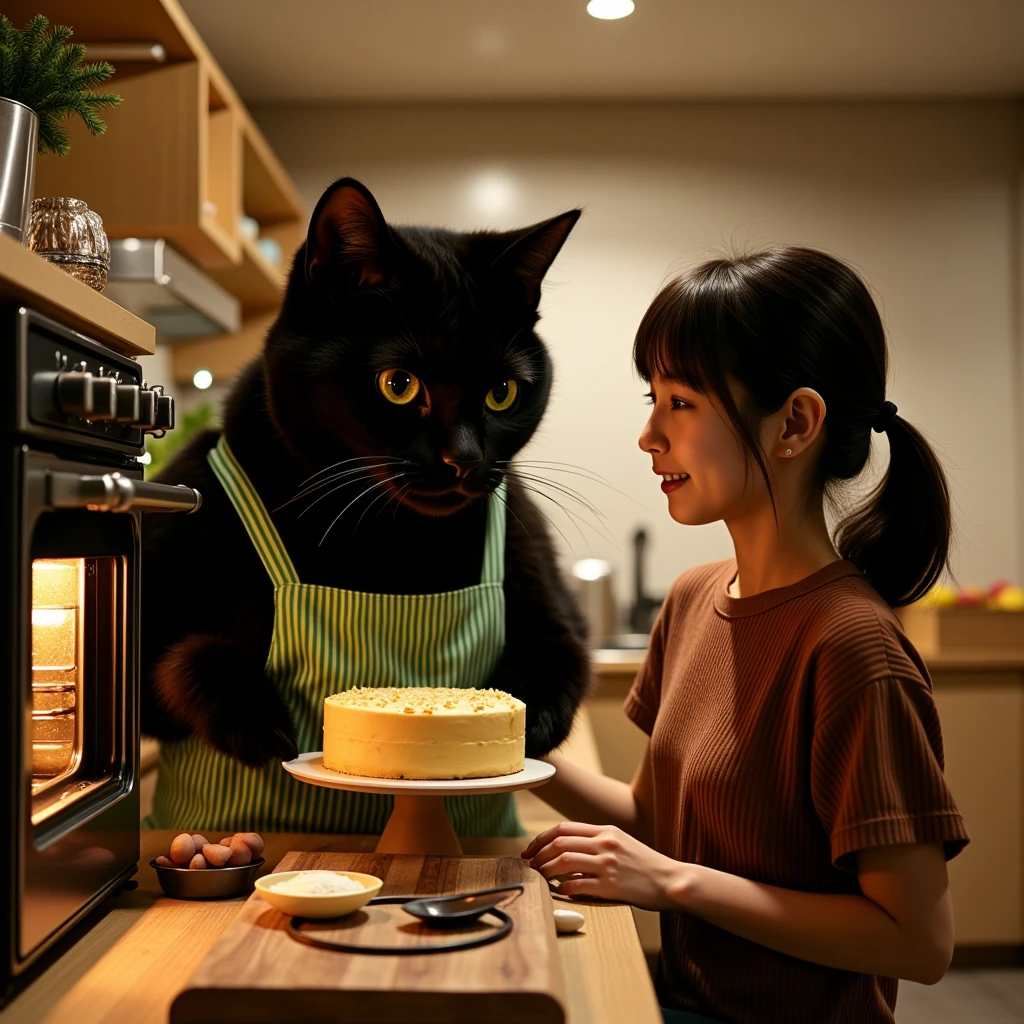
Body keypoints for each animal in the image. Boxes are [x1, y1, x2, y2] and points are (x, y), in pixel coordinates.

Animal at [144, 178, 593, 770]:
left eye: (503, 393)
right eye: (398, 384)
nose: (464, 458)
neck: (386, 537)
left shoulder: (550, 591)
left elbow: (562, 647)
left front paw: (533, 718)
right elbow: (182, 656)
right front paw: (259, 719)